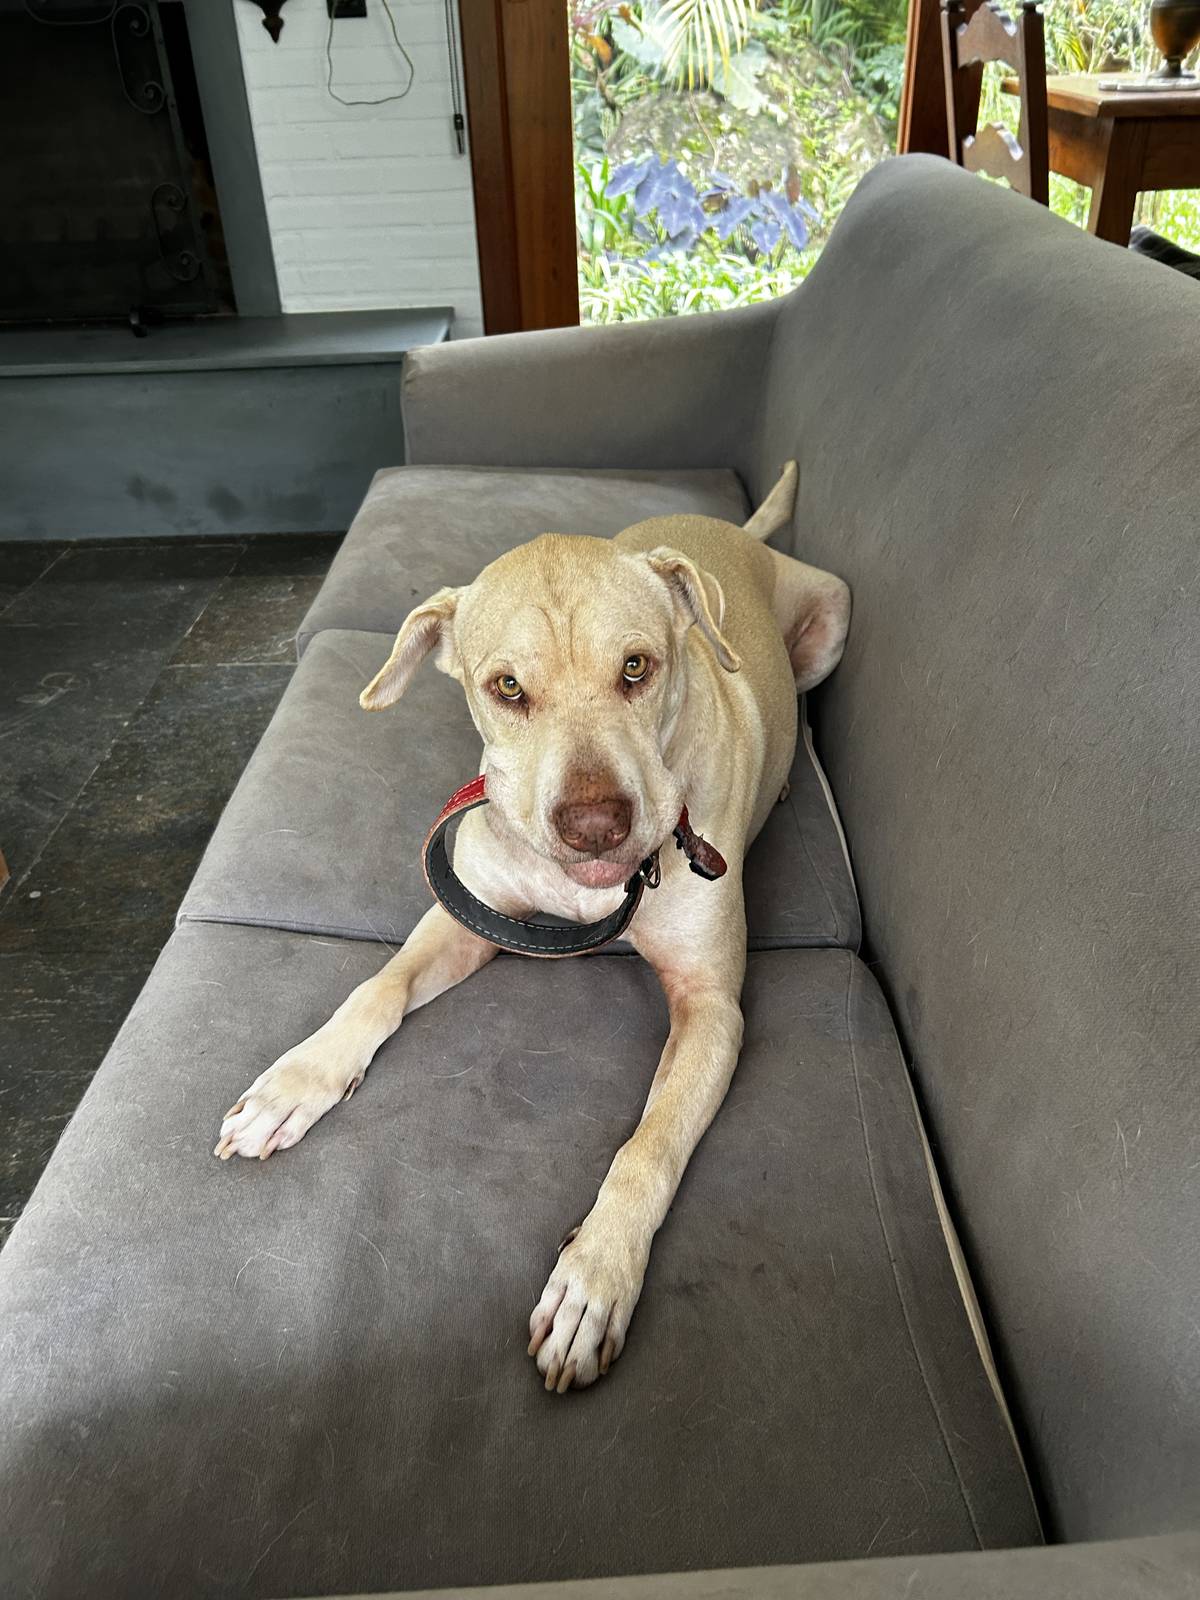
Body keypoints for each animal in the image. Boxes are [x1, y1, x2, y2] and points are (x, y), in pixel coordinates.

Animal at [215, 463, 851, 1391]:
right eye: (507, 687)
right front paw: (296, 1082)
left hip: (832, 616)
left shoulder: (711, 1011)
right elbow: (377, 987)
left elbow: (647, 1147)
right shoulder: (469, 917)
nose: (593, 827)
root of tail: (738, 532)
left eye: (637, 667)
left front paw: (593, 1279)